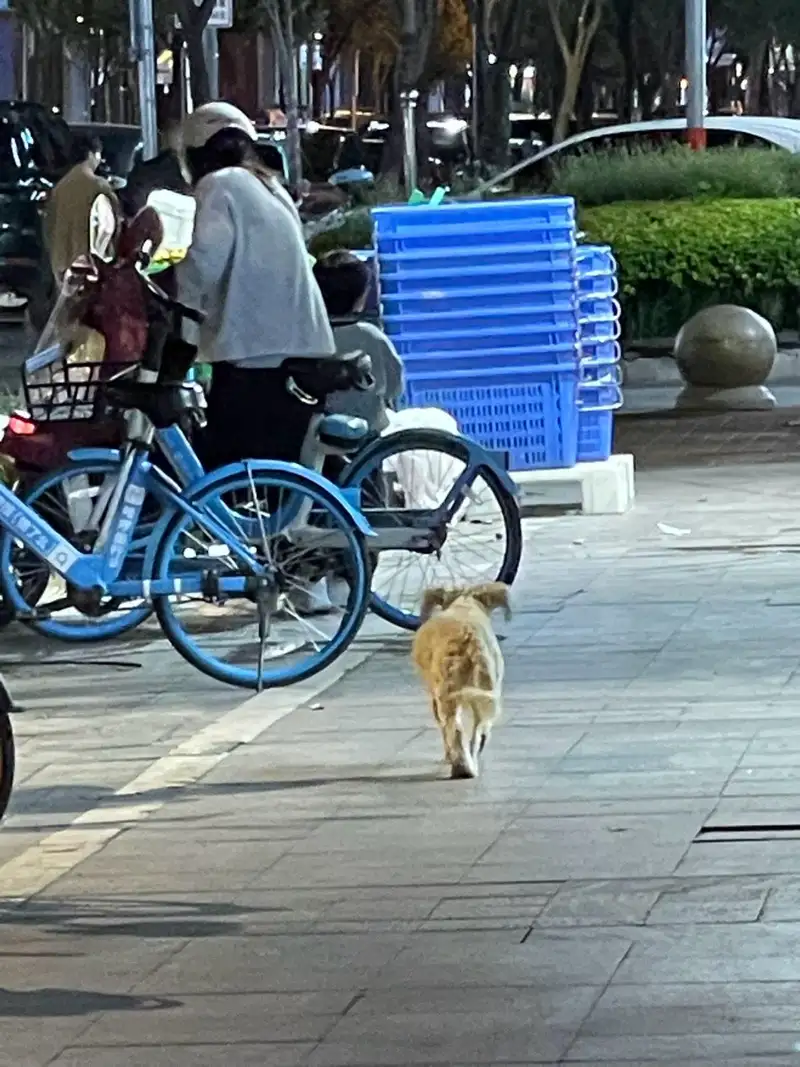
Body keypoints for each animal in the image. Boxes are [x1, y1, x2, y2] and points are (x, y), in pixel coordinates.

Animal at [416, 584, 509, 776]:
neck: (464, 604)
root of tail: (467, 638)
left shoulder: (435, 696)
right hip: (483, 687)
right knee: (478, 729)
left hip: (451, 692)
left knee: (456, 728)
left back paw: (460, 766)